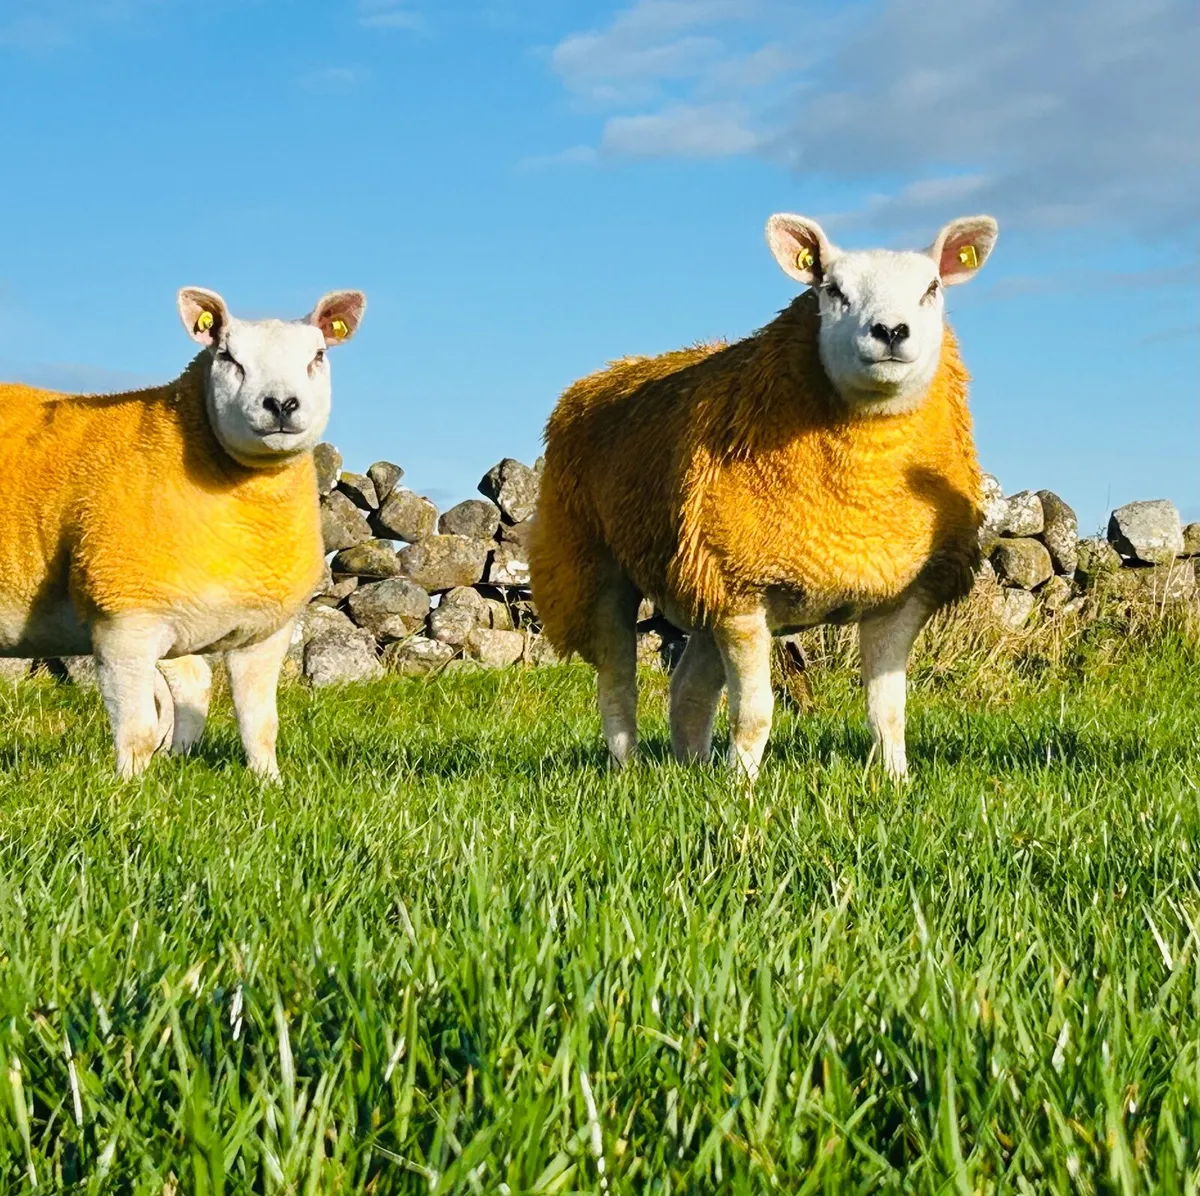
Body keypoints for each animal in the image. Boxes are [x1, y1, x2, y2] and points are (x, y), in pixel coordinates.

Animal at [0, 287, 366, 777]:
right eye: (227, 356)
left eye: (318, 356)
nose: (281, 405)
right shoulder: (124, 617)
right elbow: (135, 732)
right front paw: (128, 790)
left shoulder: (265, 630)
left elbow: (261, 726)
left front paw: (270, 783)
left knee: (192, 683)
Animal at [529, 213, 997, 782]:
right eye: (832, 290)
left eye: (931, 288)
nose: (889, 331)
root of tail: (604, 376)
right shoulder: (743, 593)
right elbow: (754, 712)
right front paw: (742, 788)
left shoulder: (899, 595)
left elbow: (887, 710)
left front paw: (896, 782)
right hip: (592, 564)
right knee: (618, 683)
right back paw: (630, 768)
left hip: (702, 576)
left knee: (687, 692)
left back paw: (692, 770)